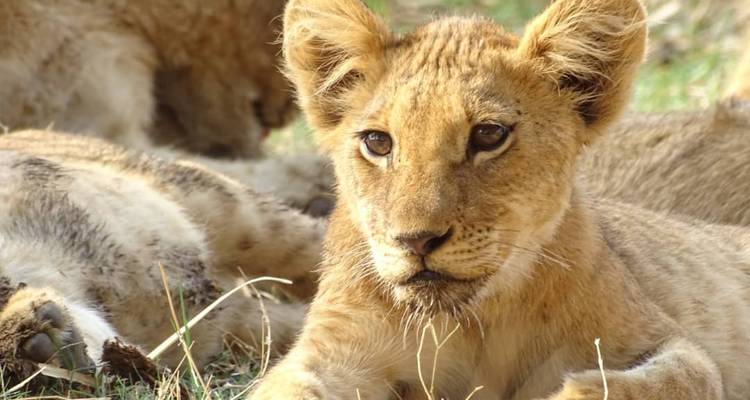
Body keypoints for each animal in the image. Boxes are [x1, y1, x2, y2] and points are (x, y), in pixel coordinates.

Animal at [250, 0, 750, 399]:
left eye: (488, 135)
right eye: (377, 142)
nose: (415, 241)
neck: (473, 324)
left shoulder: (670, 345)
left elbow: (646, 383)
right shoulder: (330, 353)